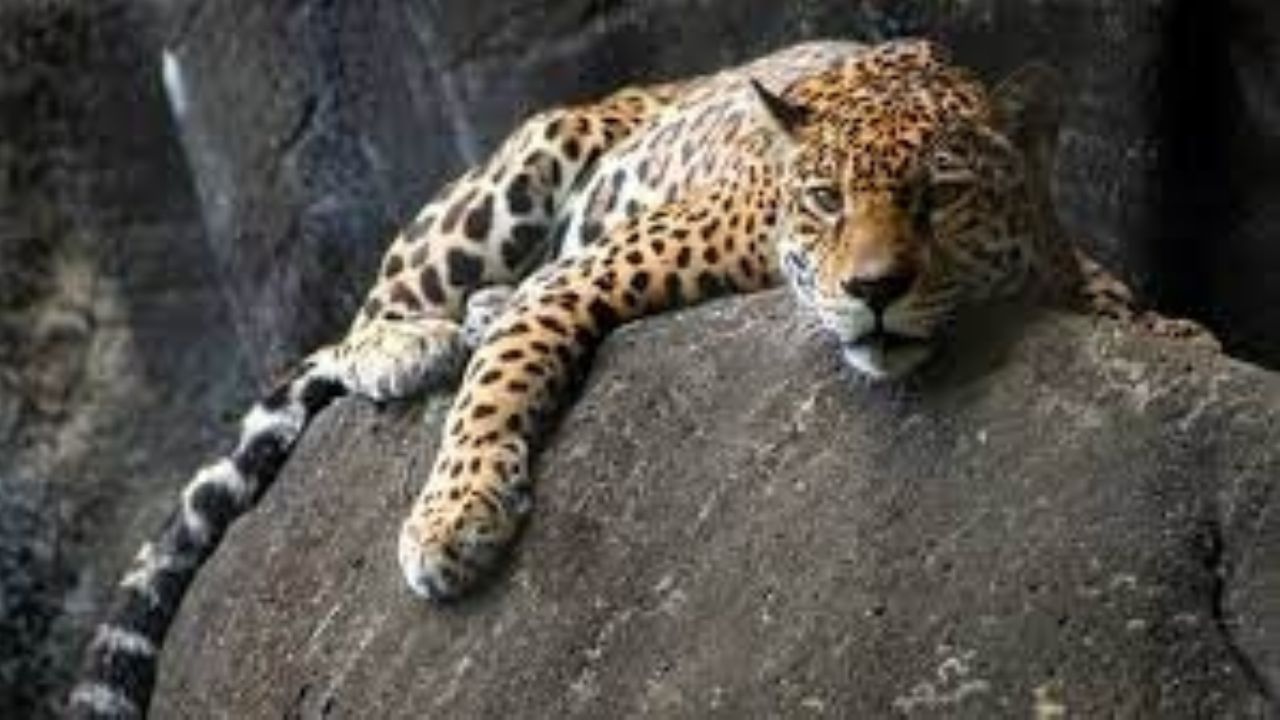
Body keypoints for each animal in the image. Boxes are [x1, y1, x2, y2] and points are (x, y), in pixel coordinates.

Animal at [69, 38, 1212, 718]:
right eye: (825, 200)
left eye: (941, 199)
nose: (873, 291)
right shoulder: (581, 276)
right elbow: (498, 382)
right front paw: (453, 523)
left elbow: (1114, 296)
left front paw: (1173, 330)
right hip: (519, 168)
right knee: (365, 315)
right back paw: (407, 342)